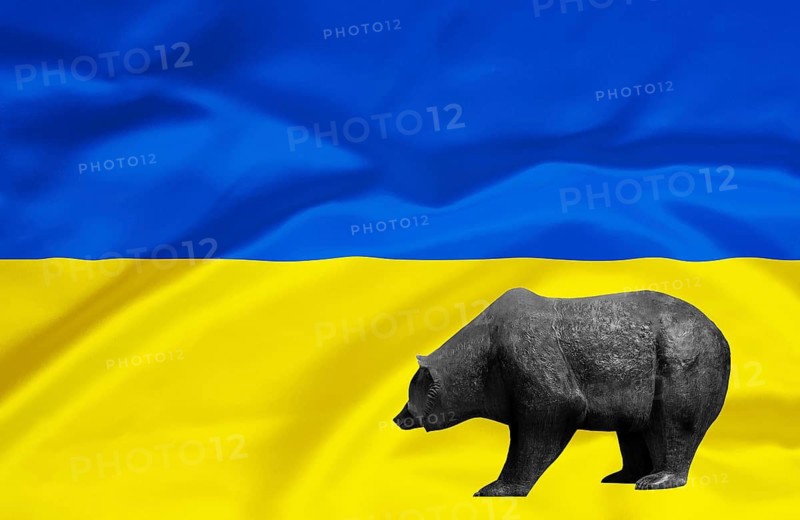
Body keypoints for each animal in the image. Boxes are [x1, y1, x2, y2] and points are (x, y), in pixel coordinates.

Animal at [394, 288, 730, 497]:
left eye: (409, 397)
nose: (398, 418)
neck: (480, 358)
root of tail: (719, 332)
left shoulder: (525, 352)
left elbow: (553, 408)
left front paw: (495, 487)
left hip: (682, 361)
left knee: (674, 422)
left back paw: (657, 478)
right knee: (634, 429)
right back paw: (623, 475)